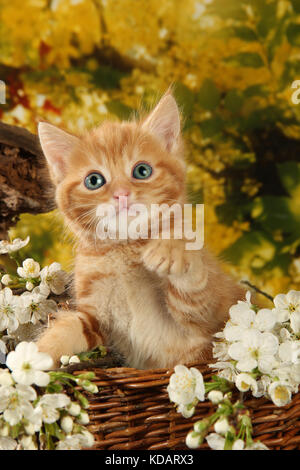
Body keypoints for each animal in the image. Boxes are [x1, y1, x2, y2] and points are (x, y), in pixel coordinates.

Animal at [36, 93, 245, 370]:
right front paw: (33, 357)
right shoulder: (97, 318)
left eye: (141, 171)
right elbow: (71, 326)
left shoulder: (207, 322)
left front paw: (171, 249)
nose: (122, 194)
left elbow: (196, 285)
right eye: (94, 180)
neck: (125, 249)